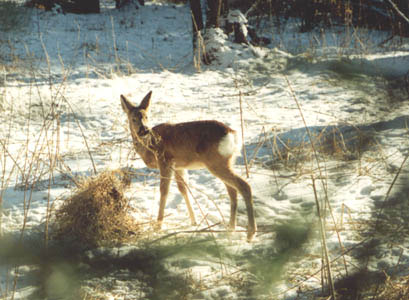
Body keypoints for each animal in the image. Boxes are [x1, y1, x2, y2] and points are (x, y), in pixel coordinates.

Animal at [119, 91, 256, 241]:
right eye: (133, 119)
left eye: (146, 116)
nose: (144, 130)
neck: (149, 146)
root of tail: (232, 134)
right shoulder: (179, 166)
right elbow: (183, 189)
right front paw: (194, 221)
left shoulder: (165, 161)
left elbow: (164, 191)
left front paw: (158, 226)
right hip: (225, 161)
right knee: (232, 190)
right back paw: (230, 229)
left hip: (216, 162)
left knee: (244, 185)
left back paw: (250, 233)